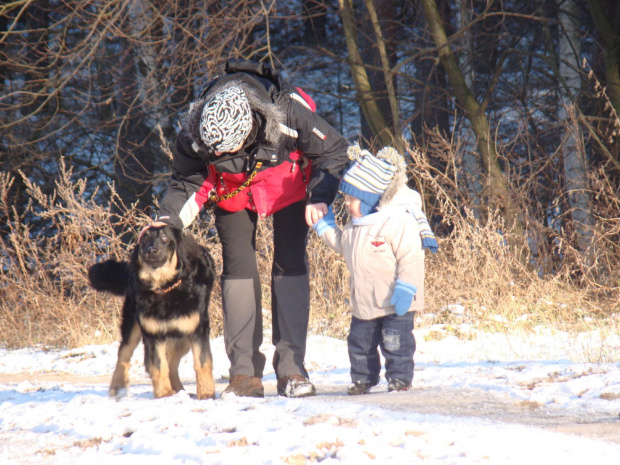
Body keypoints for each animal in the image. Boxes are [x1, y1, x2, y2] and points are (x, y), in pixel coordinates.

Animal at [88, 225, 217, 398]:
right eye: (145, 240)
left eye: (165, 239)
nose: (151, 250)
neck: (165, 288)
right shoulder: (153, 333)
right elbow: (158, 365)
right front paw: (164, 393)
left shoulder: (197, 329)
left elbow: (202, 362)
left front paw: (206, 393)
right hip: (134, 323)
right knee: (124, 352)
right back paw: (117, 386)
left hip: (181, 337)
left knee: (172, 363)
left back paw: (180, 390)